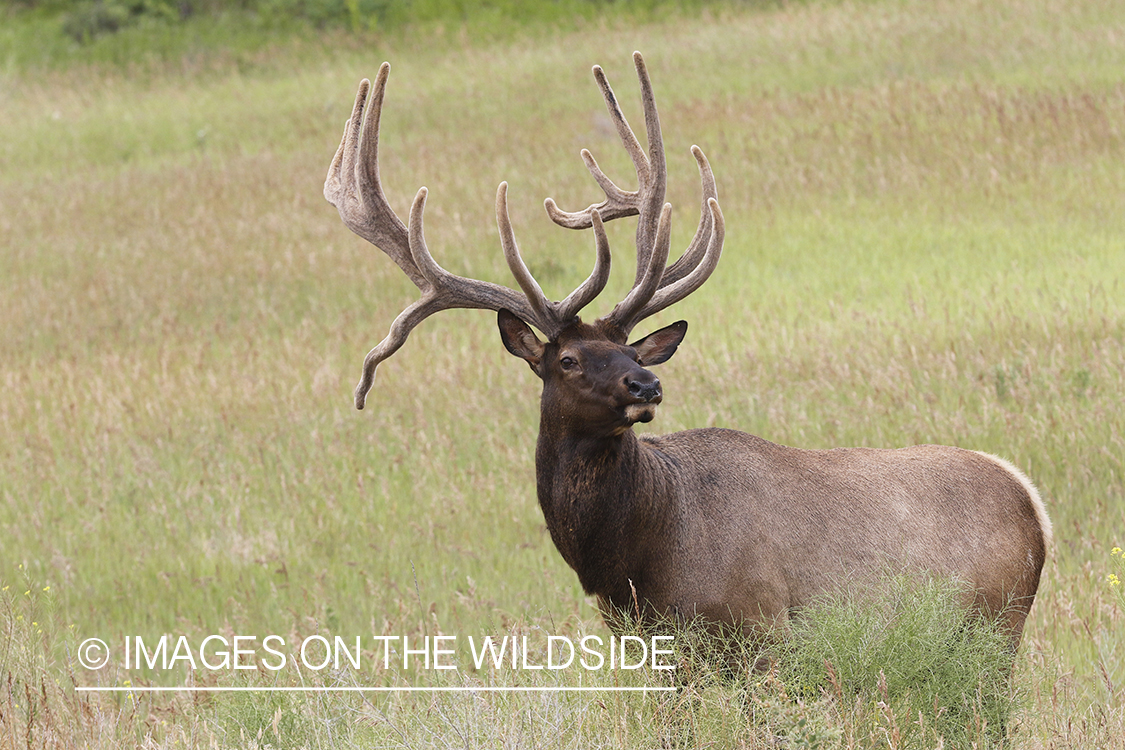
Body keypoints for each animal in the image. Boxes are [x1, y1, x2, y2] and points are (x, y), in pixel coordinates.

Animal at [326, 54, 1053, 652]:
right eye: (567, 361)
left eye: (630, 349)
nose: (645, 387)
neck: (634, 559)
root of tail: (1033, 503)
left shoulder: (760, 627)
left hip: (994, 622)